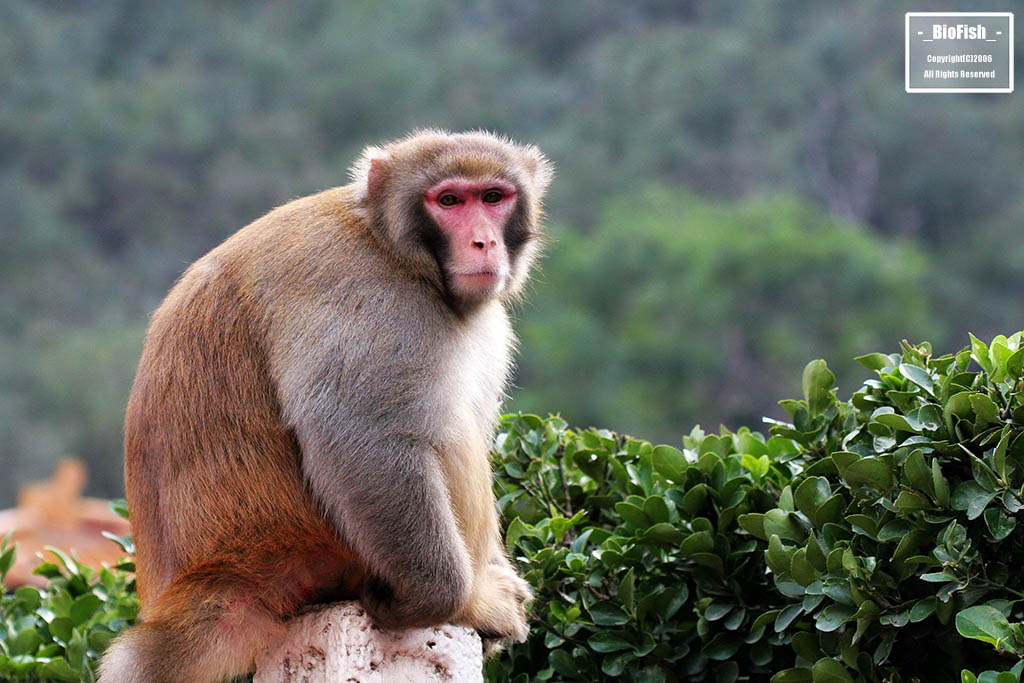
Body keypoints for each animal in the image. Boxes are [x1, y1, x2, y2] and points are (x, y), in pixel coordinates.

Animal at [97, 129, 552, 683]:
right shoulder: (373, 297)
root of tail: (207, 583)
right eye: (449, 201)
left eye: (492, 197)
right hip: (317, 557)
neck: (387, 242)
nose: (483, 241)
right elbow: (358, 433)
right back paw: (471, 604)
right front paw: (438, 598)